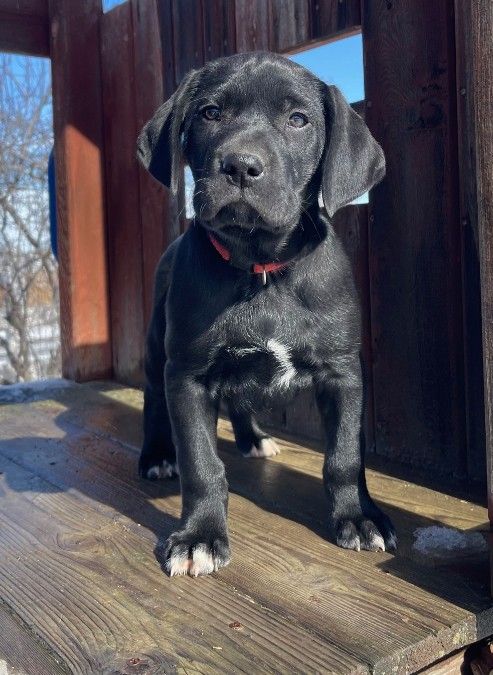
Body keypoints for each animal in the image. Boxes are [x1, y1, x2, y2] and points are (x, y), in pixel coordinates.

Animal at [135, 51, 396, 576]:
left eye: (298, 120)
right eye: (211, 113)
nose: (240, 165)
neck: (261, 267)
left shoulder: (343, 371)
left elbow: (344, 455)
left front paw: (359, 517)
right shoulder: (187, 375)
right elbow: (200, 464)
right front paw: (199, 537)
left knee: (241, 397)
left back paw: (254, 439)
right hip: (158, 350)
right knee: (153, 397)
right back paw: (156, 454)